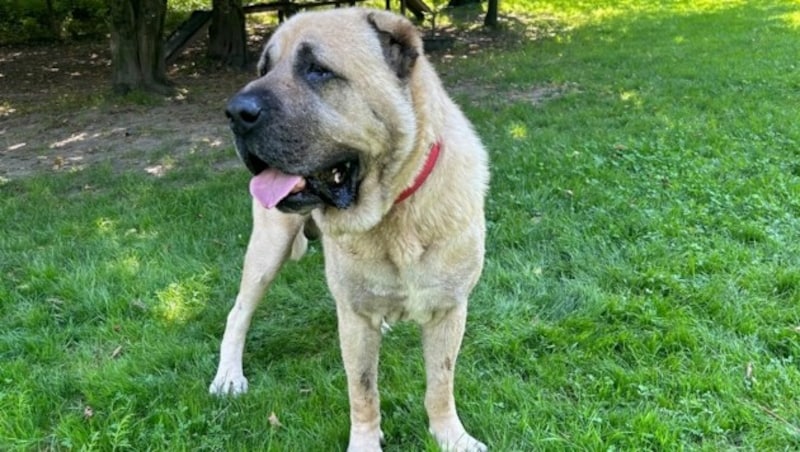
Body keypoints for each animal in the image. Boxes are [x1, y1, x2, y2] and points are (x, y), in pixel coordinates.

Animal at [208, 7, 488, 452]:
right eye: (264, 69)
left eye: (318, 70)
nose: (235, 112)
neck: (394, 211)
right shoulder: (355, 319)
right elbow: (363, 390)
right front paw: (365, 441)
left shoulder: (449, 308)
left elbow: (440, 384)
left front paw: (450, 435)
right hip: (269, 247)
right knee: (239, 312)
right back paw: (228, 376)